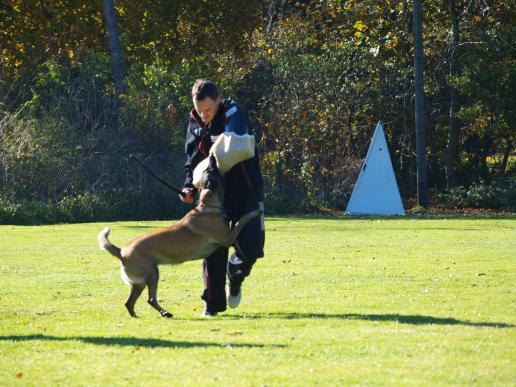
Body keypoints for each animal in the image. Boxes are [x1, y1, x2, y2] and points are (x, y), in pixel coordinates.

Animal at [98, 155, 262, 318]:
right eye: (210, 169)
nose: (211, 156)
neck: (207, 205)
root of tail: (121, 252)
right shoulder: (227, 237)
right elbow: (241, 220)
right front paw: (255, 212)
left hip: (140, 283)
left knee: (129, 302)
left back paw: (140, 315)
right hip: (152, 274)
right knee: (150, 299)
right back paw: (164, 312)